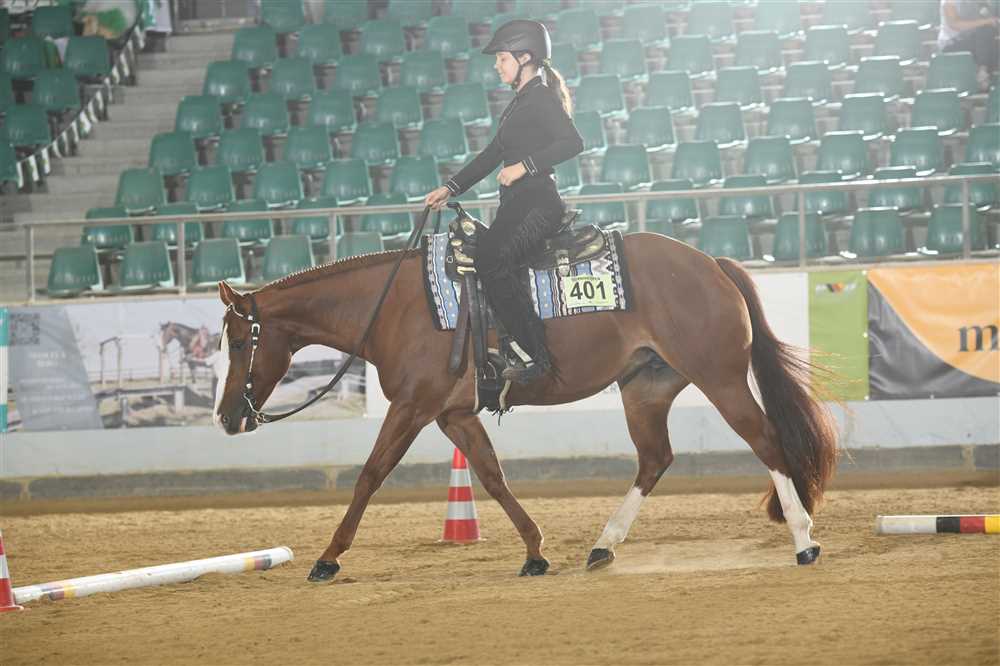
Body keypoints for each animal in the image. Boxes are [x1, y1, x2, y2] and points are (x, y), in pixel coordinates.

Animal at [213, 230, 838, 581]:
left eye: (239, 341)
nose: (227, 417)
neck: (393, 307)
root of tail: (712, 263)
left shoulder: (413, 407)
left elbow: (371, 474)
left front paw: (328, 557)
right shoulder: (454, 414)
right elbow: (492, 477)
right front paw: (536, 551)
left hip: (720, 377)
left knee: (766, 441)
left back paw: (804, 540)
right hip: (646, 388)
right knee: (655, 459)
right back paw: (602, 546)